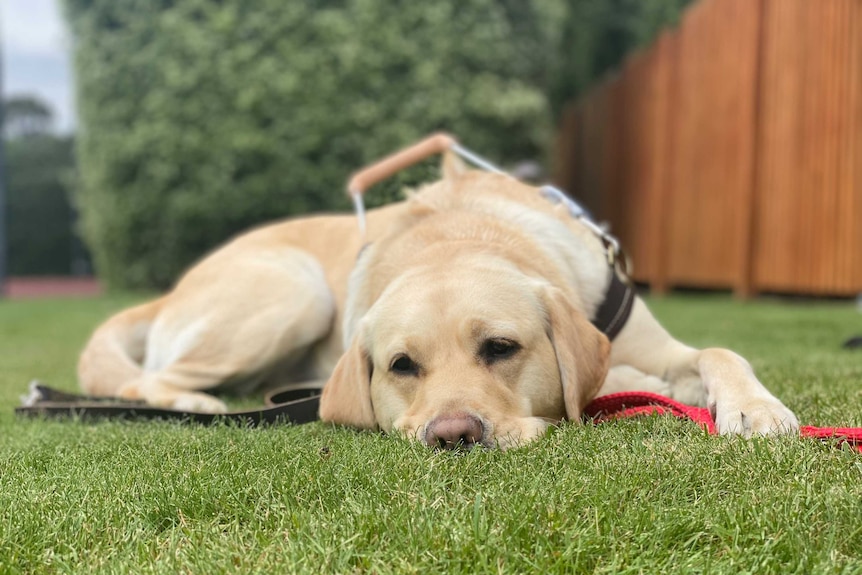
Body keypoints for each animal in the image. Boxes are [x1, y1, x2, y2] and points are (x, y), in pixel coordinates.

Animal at [77, 150, 800, 450]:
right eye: (402, 365)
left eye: (501, 347)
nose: (453, 434)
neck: (463, 232)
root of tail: (174, 289)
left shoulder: (659, 341)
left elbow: (720, 351)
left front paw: (756, 407)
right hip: (293, 289)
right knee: (146, 380)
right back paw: (196, 402)